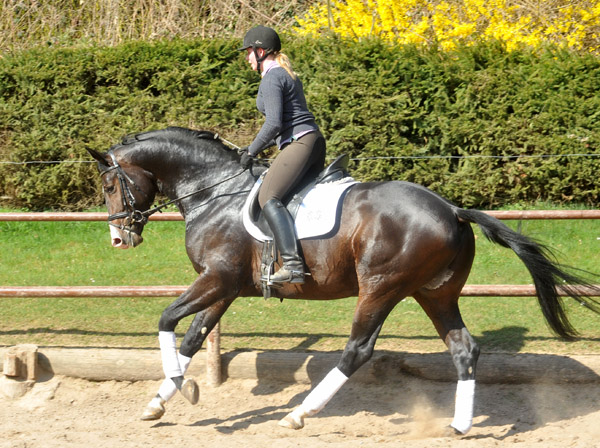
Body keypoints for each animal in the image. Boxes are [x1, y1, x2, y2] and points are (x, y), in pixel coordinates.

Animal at [89, 125, 600, 434]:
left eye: (111, 185)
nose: (118, 238)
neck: (215, 192)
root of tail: (452, 209)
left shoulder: (217, 279)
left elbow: (166, 320)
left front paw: (182, 387)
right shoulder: (226, 286)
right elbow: (194, 336)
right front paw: (159, 401)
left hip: (381, 286)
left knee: (358, 349)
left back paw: (300, 413)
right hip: (434, 293)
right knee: (464, 349)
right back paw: (458, 425)